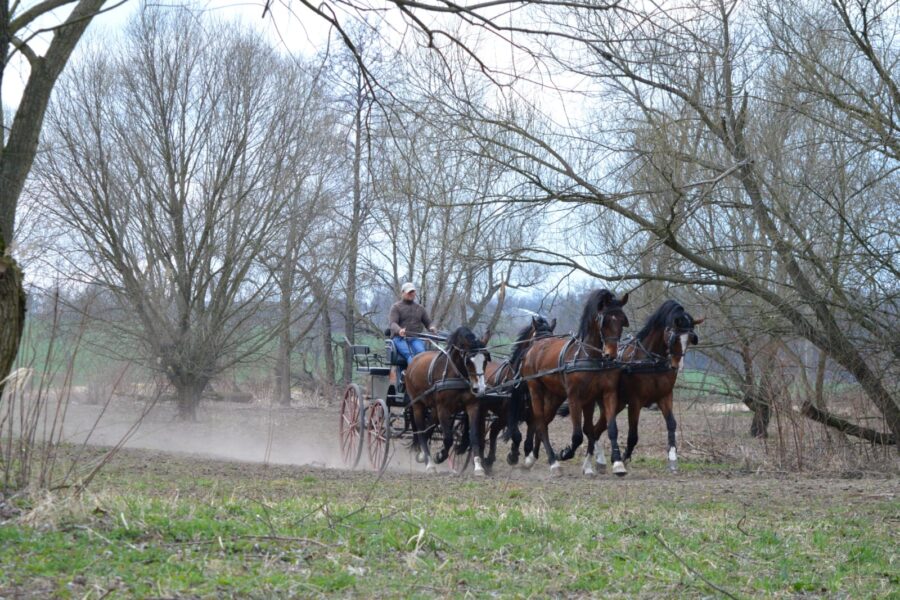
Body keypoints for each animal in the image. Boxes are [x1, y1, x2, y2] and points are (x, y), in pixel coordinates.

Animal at [406, 326, 492, 476]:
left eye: (485, 360)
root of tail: (414, 360)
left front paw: (478, 467)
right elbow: (448, 438)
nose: (480, 388)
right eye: (468, 361)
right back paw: (429, 463)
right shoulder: (443, 408)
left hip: (433, 408)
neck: (456, 374)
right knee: (422, 431)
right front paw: (439, 456)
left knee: (429, 427)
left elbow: (474, 435)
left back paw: (422, 456)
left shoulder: (472, 406)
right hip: (417, 405)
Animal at [516, 290, 628, 478]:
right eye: (604, 321)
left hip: (554, 396)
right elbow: (577, 435)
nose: (611, 354)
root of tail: (535, 346)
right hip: (535, 389)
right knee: (540, 422)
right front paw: (565, 453)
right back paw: (553, 462)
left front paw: (613, 464)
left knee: (545, 421)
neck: (590, 356)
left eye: (621, 321)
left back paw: (533, 458)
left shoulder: (603, 394)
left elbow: (602, 429)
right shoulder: (575, 397)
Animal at [616, 300, 708, 474]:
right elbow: (633, 433)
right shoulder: (635, 401)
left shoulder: (665, 396)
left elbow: (672, 424)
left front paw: (672, 458)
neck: (651, 362)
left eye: (691, 339)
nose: (677, 366)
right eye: (673, 337)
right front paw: (624, 458)